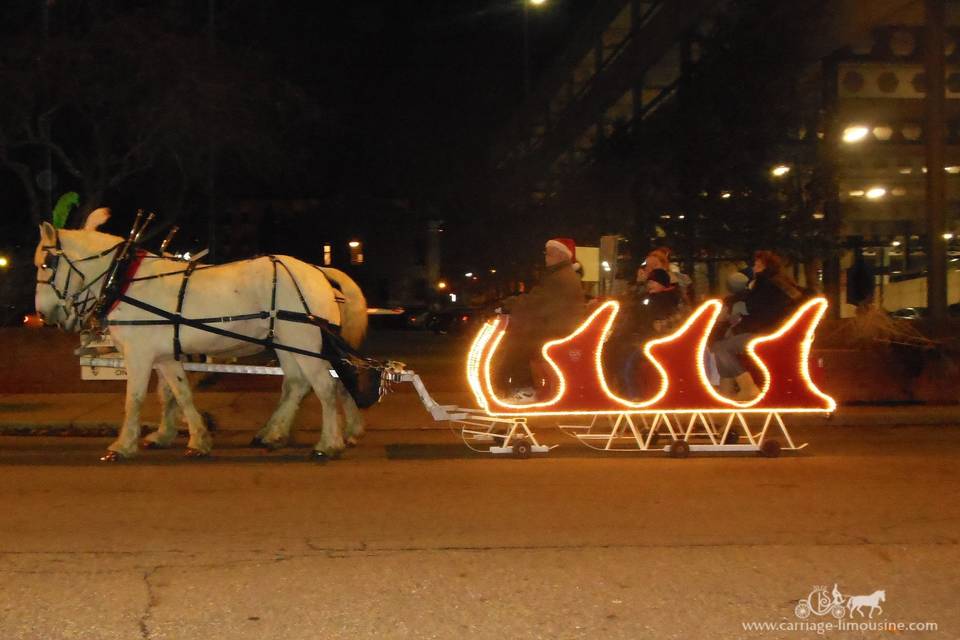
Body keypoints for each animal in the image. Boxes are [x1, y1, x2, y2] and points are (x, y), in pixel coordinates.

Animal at [33, 222, 368, 462]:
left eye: (46, 263)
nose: (43, 313)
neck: (124, 279)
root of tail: (315, 270)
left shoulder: (139, 354)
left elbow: (135, 398)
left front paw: (122, 445)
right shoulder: (165, 357)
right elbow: (178, 394)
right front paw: (194, 439)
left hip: (306, 343)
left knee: (325, 387)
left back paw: (329, 443)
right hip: (287, 344)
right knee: (297, 385)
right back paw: (273, 435)